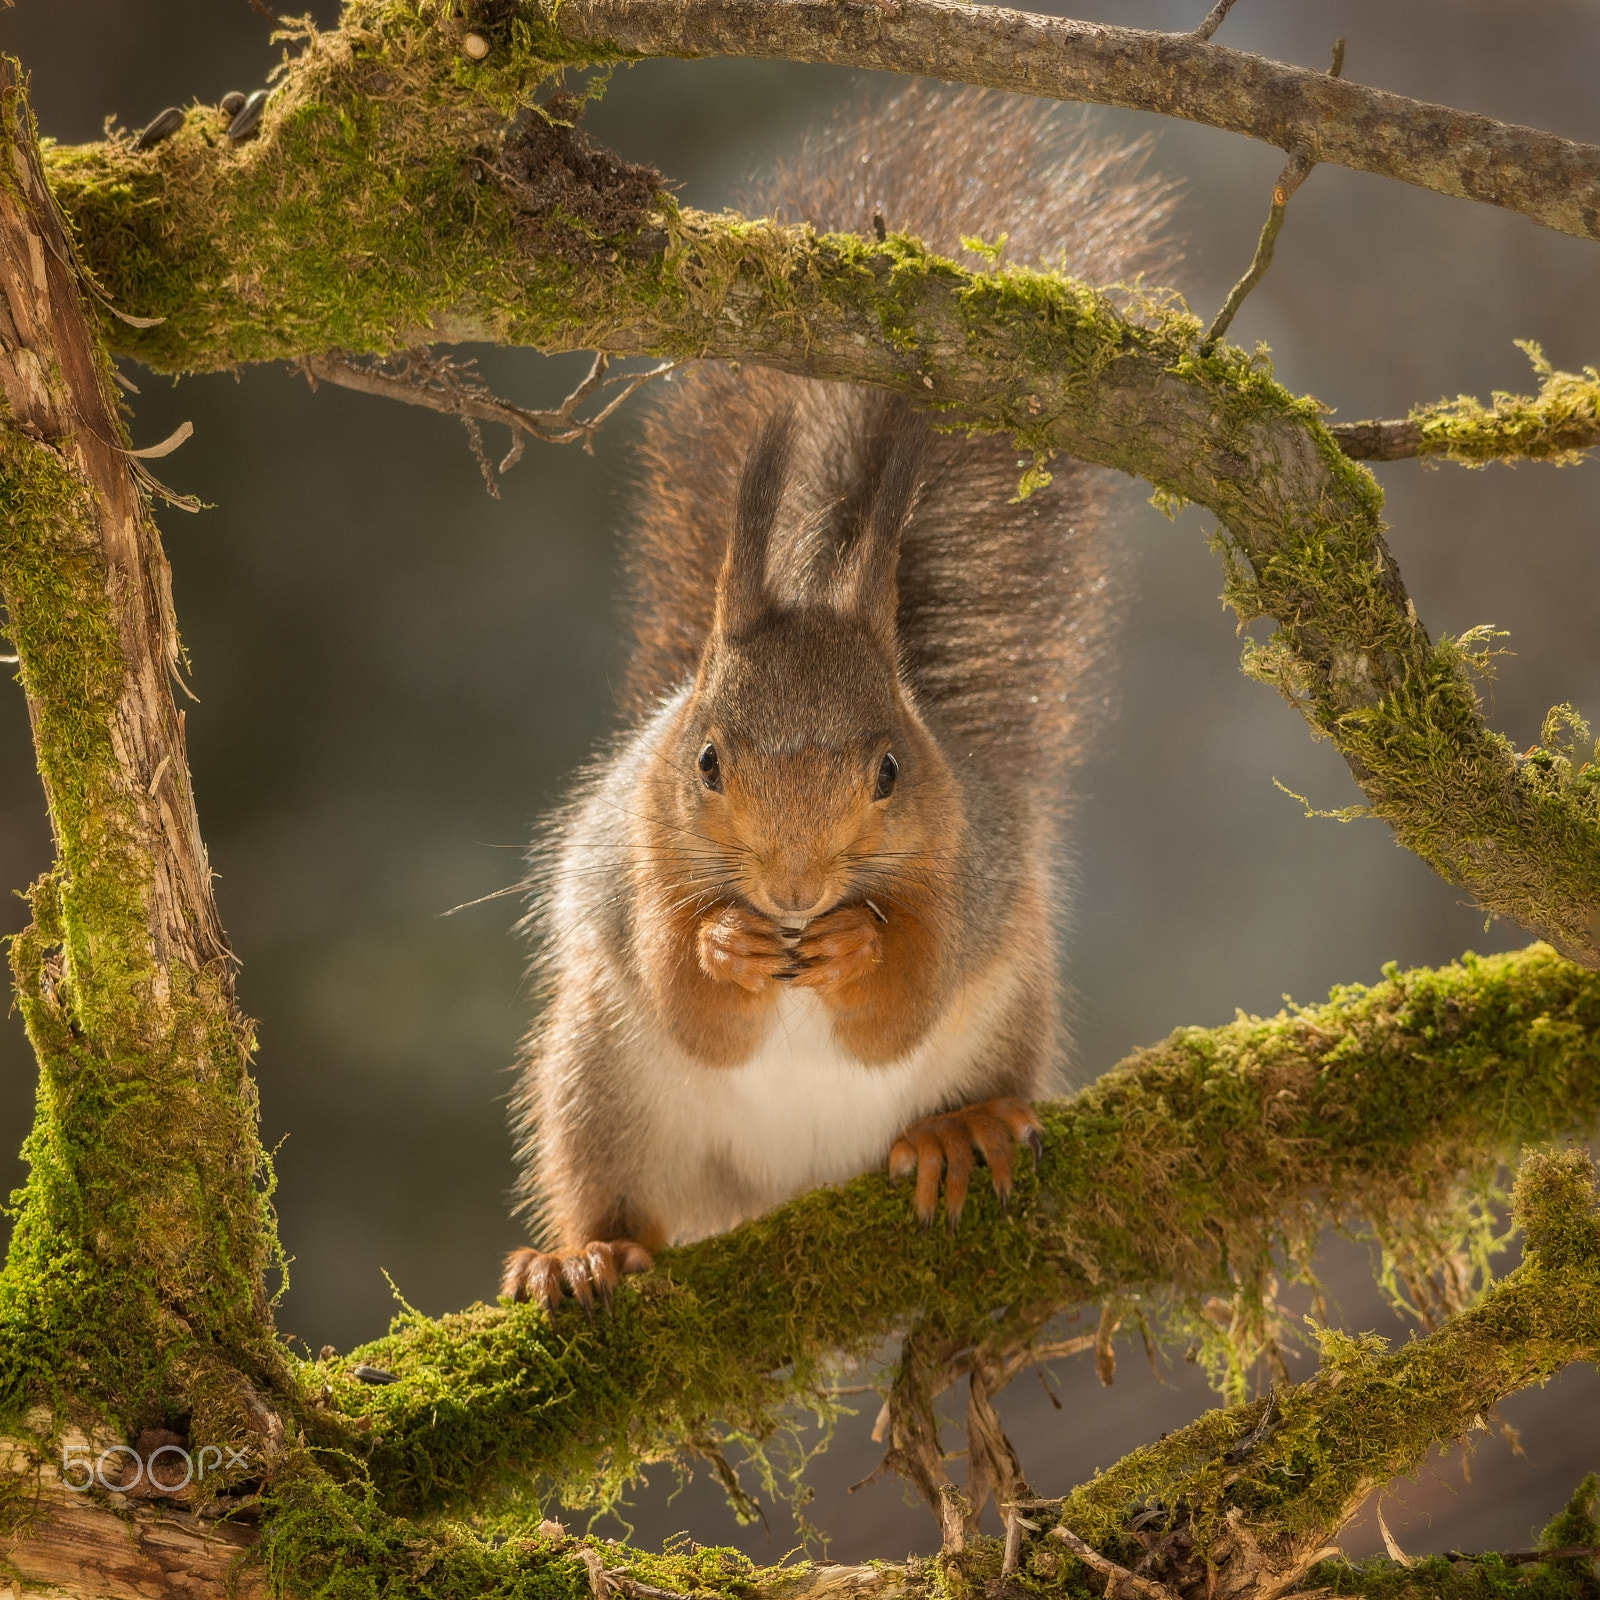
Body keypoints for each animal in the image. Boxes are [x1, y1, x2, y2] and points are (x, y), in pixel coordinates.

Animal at [505, 87, 1171, 1305]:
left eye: (892, 768)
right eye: (706, 761)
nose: (796, 888)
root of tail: (787, 1188)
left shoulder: (965, 868)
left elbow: (900, 1003)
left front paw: (857, 944)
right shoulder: (637, 860)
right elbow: (687, 998)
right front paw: (727, 945)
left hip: (1005, 1016)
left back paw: (961, 1131)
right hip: (597, 1081)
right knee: (619, 1191)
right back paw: (584, 1255)